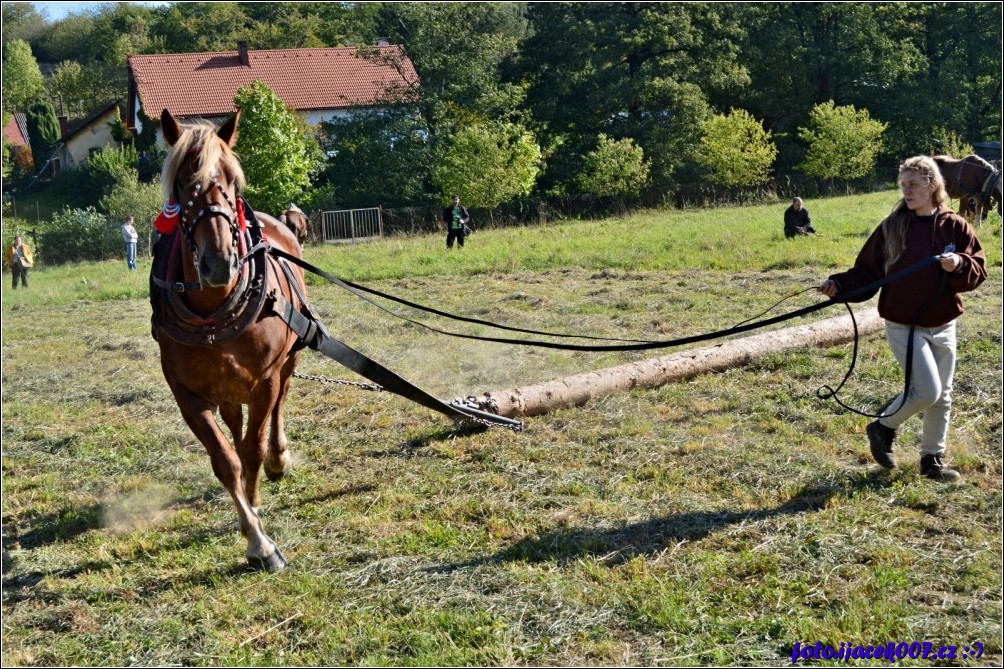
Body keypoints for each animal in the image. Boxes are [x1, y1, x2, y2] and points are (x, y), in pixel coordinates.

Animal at [152, 106, 307, 570]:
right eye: (182, 183)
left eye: (232, 181)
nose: (219, 261)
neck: (214, 308)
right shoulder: (188, 395)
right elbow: (225, 461)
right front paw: (255, 536)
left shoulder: (265, 379)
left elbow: (253, 449)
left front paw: (256, 512)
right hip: (224, 387)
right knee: (236, 427)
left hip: (287, 364)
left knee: (276, 411)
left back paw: (278, 457)